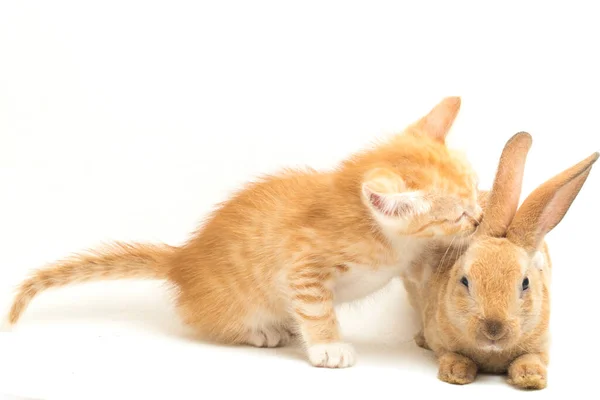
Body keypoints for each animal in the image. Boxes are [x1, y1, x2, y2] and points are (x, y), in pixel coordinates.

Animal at [5, 97, 482, 368]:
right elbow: (316, 309)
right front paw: (327, 346)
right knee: (206, 322)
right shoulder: (302, 265)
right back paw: (263, 332)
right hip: (233, 303)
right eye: (457, 215)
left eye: (475, 193)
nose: (478, 219)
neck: (386, 237)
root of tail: (182, 258)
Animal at [404, 132, 600, 390]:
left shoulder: (541, 346)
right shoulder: (441, 339)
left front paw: (531, 378)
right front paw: (456, 373)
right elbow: (451, 354)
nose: (493, 329)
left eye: (525, 283)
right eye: (464, 281)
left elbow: (531, 358)